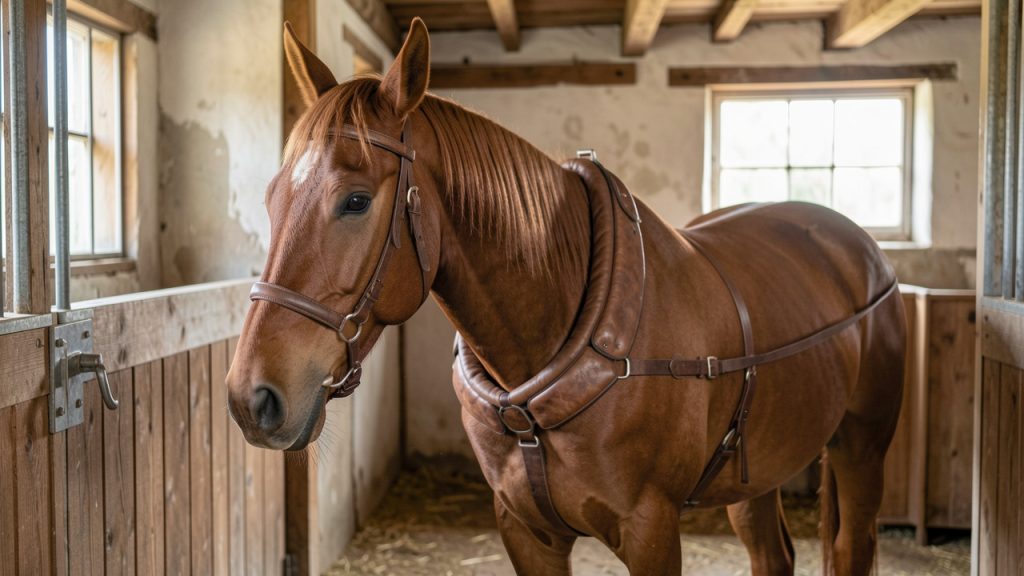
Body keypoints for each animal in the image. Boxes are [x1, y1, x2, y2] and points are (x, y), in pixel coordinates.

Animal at [226, 17, 905, 576]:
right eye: (272, 197)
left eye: (356, 200)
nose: (250, 398)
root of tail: (860, 249)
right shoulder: (526, 532)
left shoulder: (651, 532)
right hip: (756, 471)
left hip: (862, 447)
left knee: (853, 545)